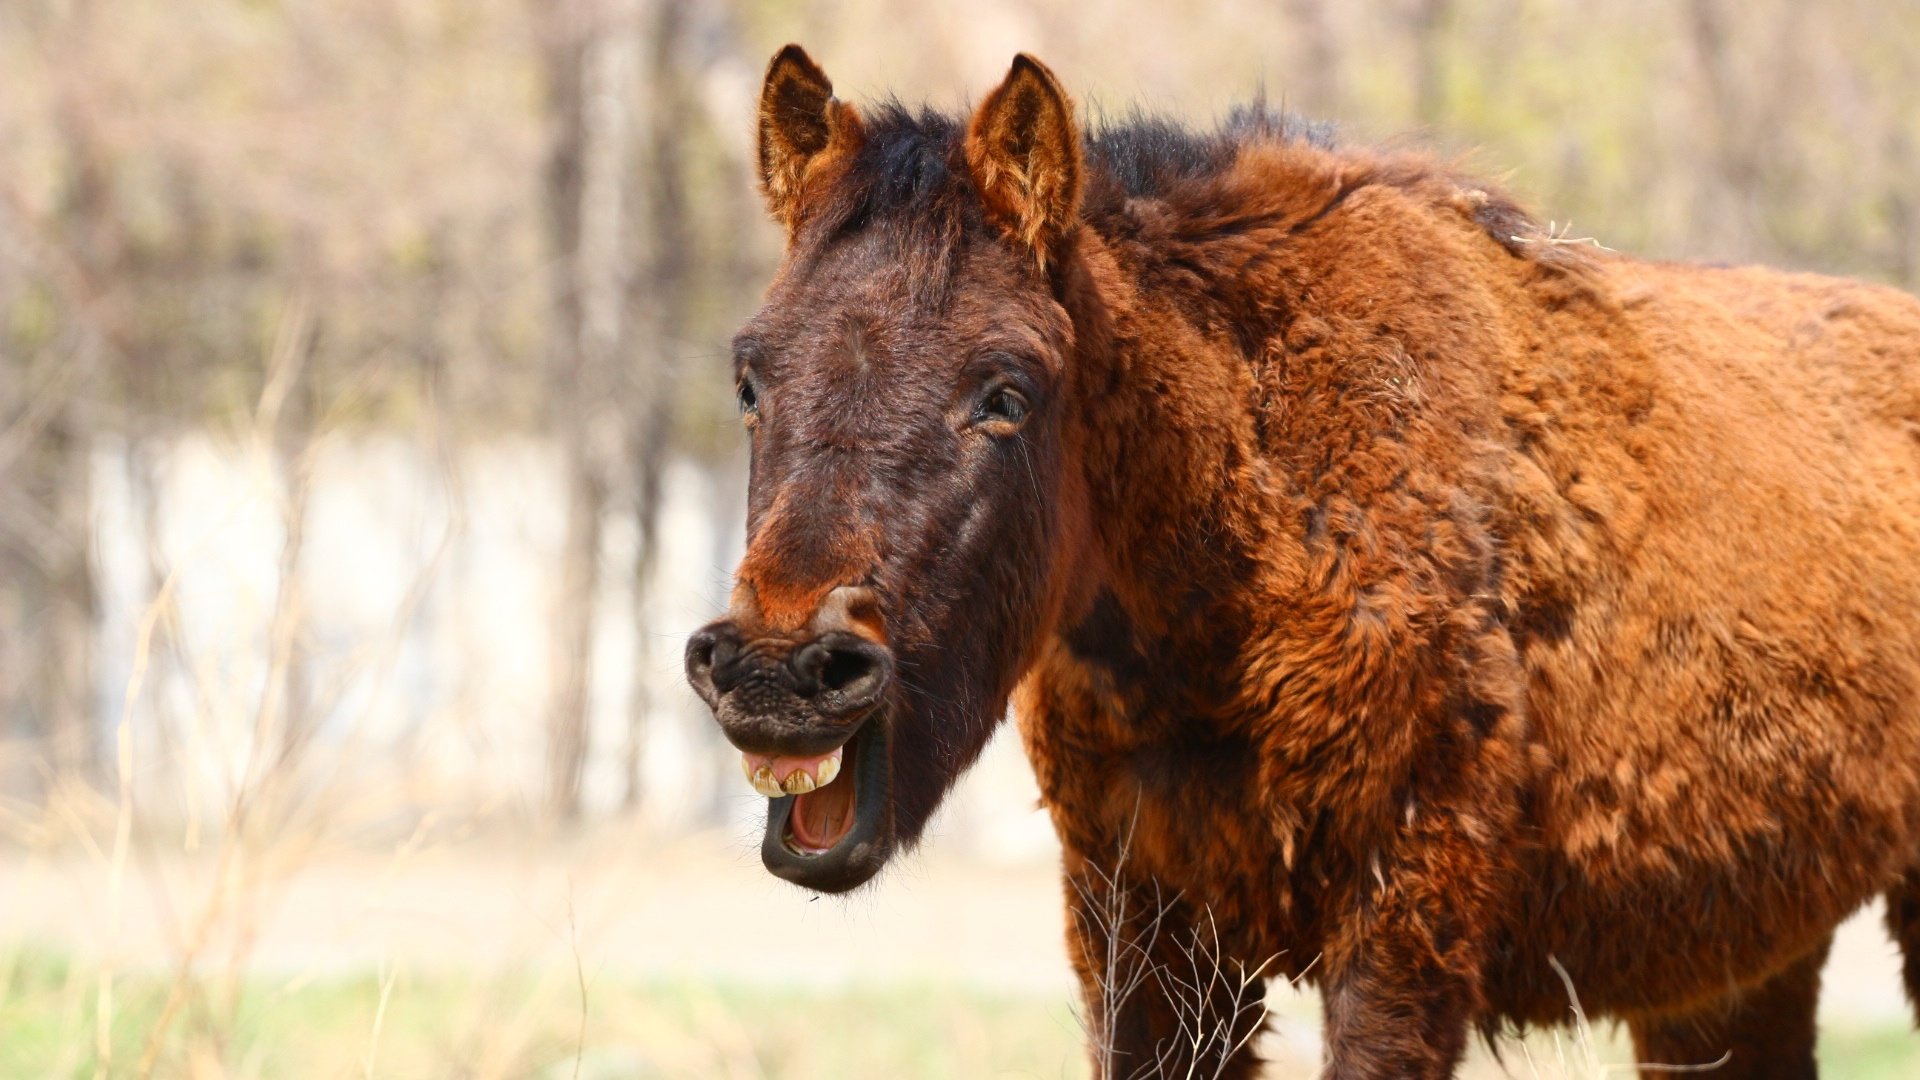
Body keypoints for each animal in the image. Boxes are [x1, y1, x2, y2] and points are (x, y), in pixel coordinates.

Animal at [687, 44, 1920, 1076]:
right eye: (749, 375)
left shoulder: (1401, 929)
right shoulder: (1143, 931)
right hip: (1737, 969)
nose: (781, 675)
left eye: (1005, 390)